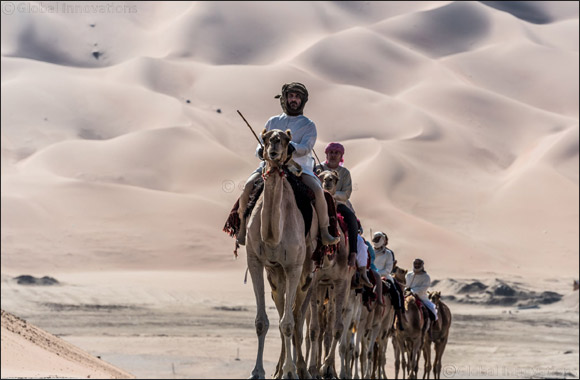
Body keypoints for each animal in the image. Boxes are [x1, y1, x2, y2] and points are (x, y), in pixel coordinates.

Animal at [245, 129, 318, 378]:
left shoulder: (294, 266)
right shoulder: (256, 261)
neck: (272, 234)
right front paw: (257, 371)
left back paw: (299, 369)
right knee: (283, 311)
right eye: (266, 137)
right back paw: (280, 368)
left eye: (287, 140)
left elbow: (289, 323)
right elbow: (261, 322)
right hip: (276, 274)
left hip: (307, 272)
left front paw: (290, 371)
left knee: (297, 317)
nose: (274, 147)